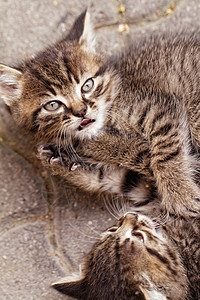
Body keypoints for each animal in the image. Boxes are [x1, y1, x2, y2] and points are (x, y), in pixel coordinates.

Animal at [0, 10, 200, 217]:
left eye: (87, 85)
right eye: (53, 105)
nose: (81, 111)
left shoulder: (160, 108)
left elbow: (164, 151)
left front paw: (180, 194)